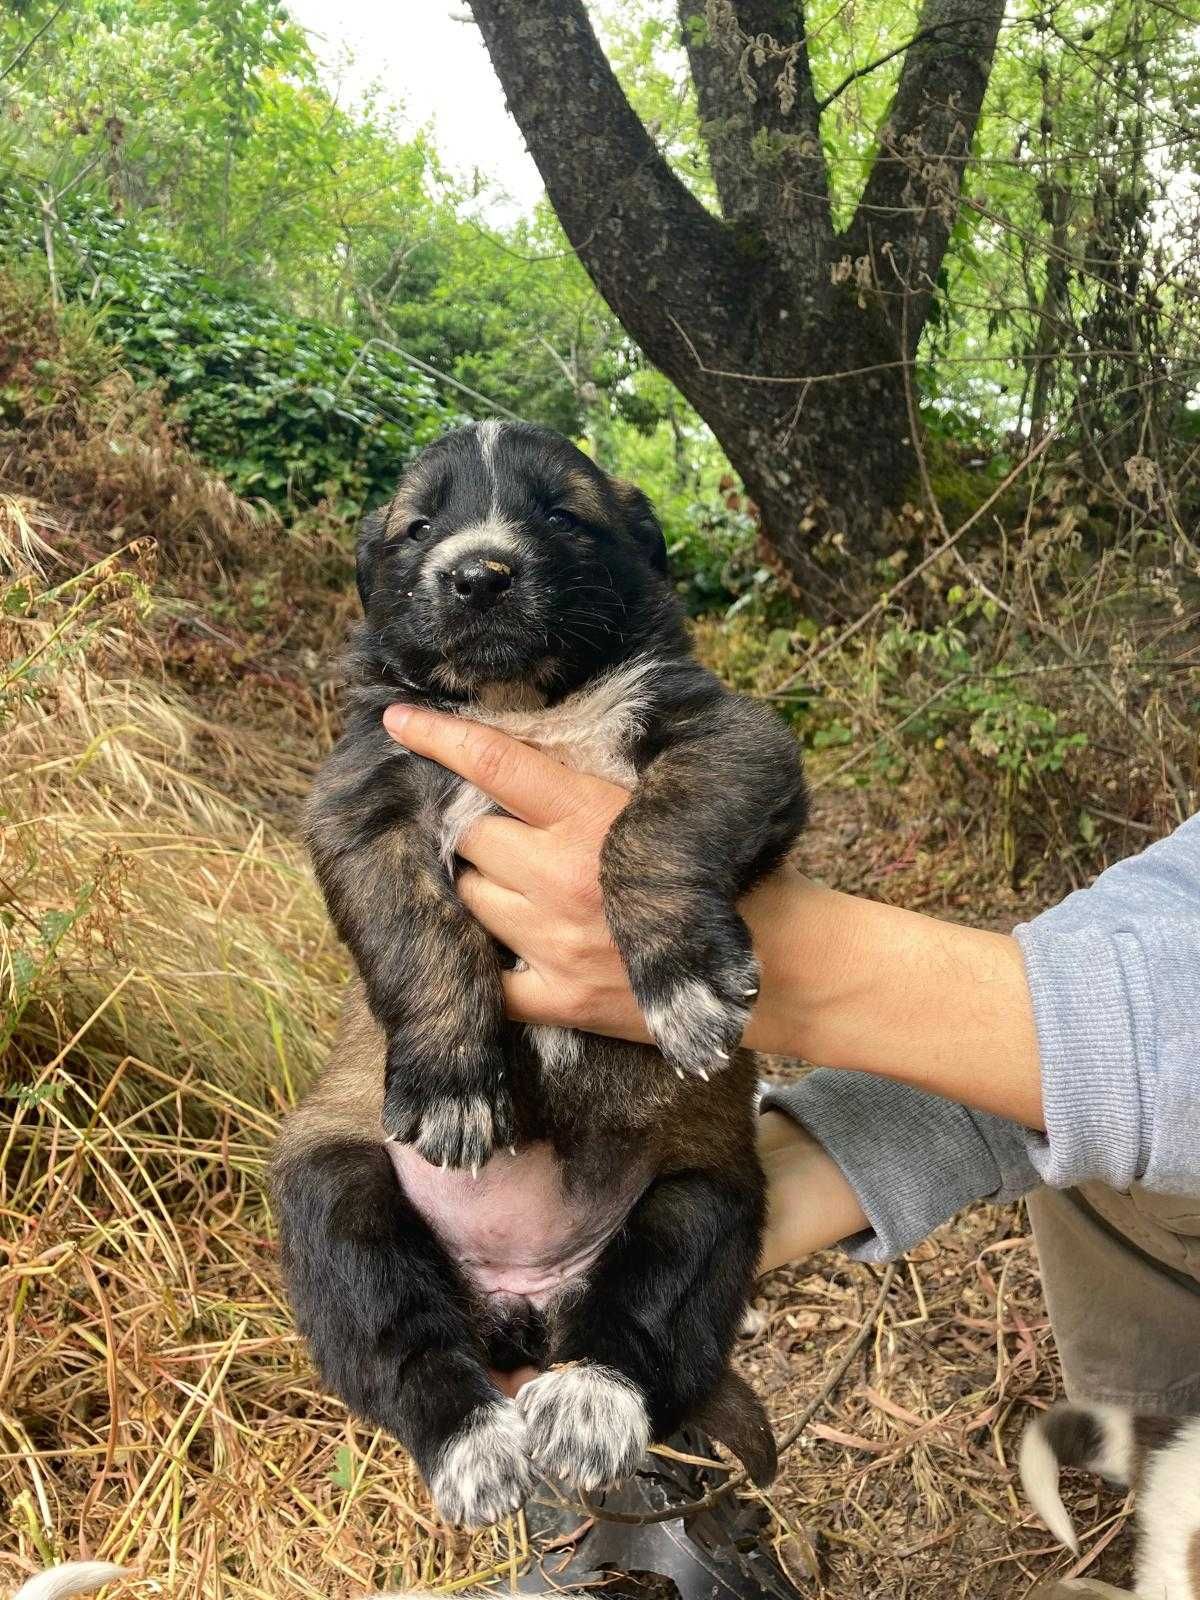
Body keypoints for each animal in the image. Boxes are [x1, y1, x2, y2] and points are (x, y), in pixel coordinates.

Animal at [272, 422, 809, 1523]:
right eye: (418, 526)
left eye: (562, 513)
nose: (479, 572)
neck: (523, 709)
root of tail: (519, 1300)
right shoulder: (363, 801)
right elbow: (421, 934)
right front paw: (452, 1083)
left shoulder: (727, 733)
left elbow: (656, 824)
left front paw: (681, 981)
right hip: (336, 1185)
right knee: (403, 1338)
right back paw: (474, 1443)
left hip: (702, 1196)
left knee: (641, 1316)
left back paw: (591, 1403)